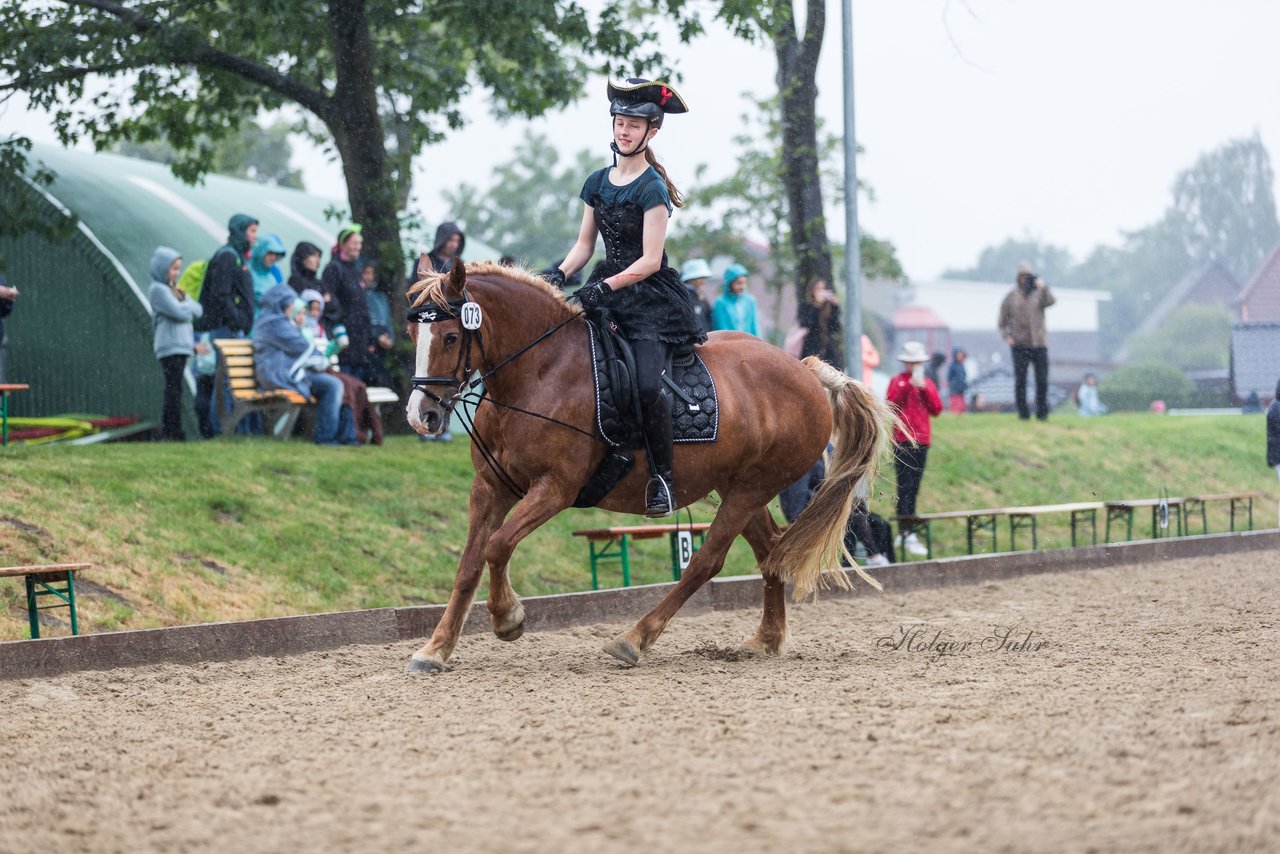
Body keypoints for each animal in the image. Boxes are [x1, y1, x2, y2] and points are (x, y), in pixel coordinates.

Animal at [404, 261, 885, 676]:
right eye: (413, 333)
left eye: (450, 337)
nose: (421, 416)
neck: (539, 373)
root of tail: (803, 369)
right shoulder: (490, 486)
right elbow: (469, 565)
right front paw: (435, 649)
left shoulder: (555, 488)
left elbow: (498, 545)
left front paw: (508, 619)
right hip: (740, 488)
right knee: (769, 551)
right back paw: (766, 638)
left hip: (752, 488)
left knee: (706, 561)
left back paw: (634, 638)